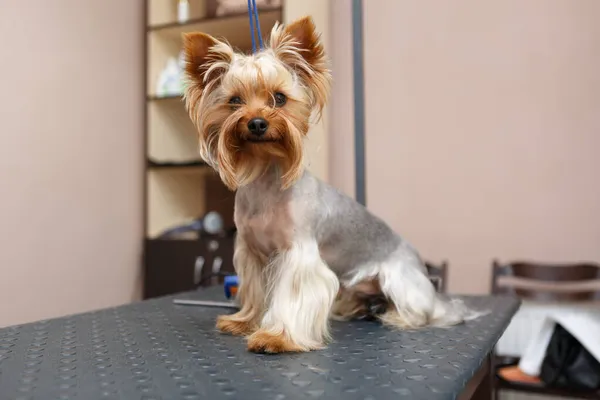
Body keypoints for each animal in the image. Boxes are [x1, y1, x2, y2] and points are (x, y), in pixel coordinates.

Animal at [182, 15, 478, 354]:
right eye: (234, 102)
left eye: (279, 98)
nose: (257, 123)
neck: (266, 174)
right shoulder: (254, 255)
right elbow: (256, 291)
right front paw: (245, 322)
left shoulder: (299, 254)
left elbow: (293, 296)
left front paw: (277, 337)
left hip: (400, 281)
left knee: (423, 311)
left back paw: (396, 316)